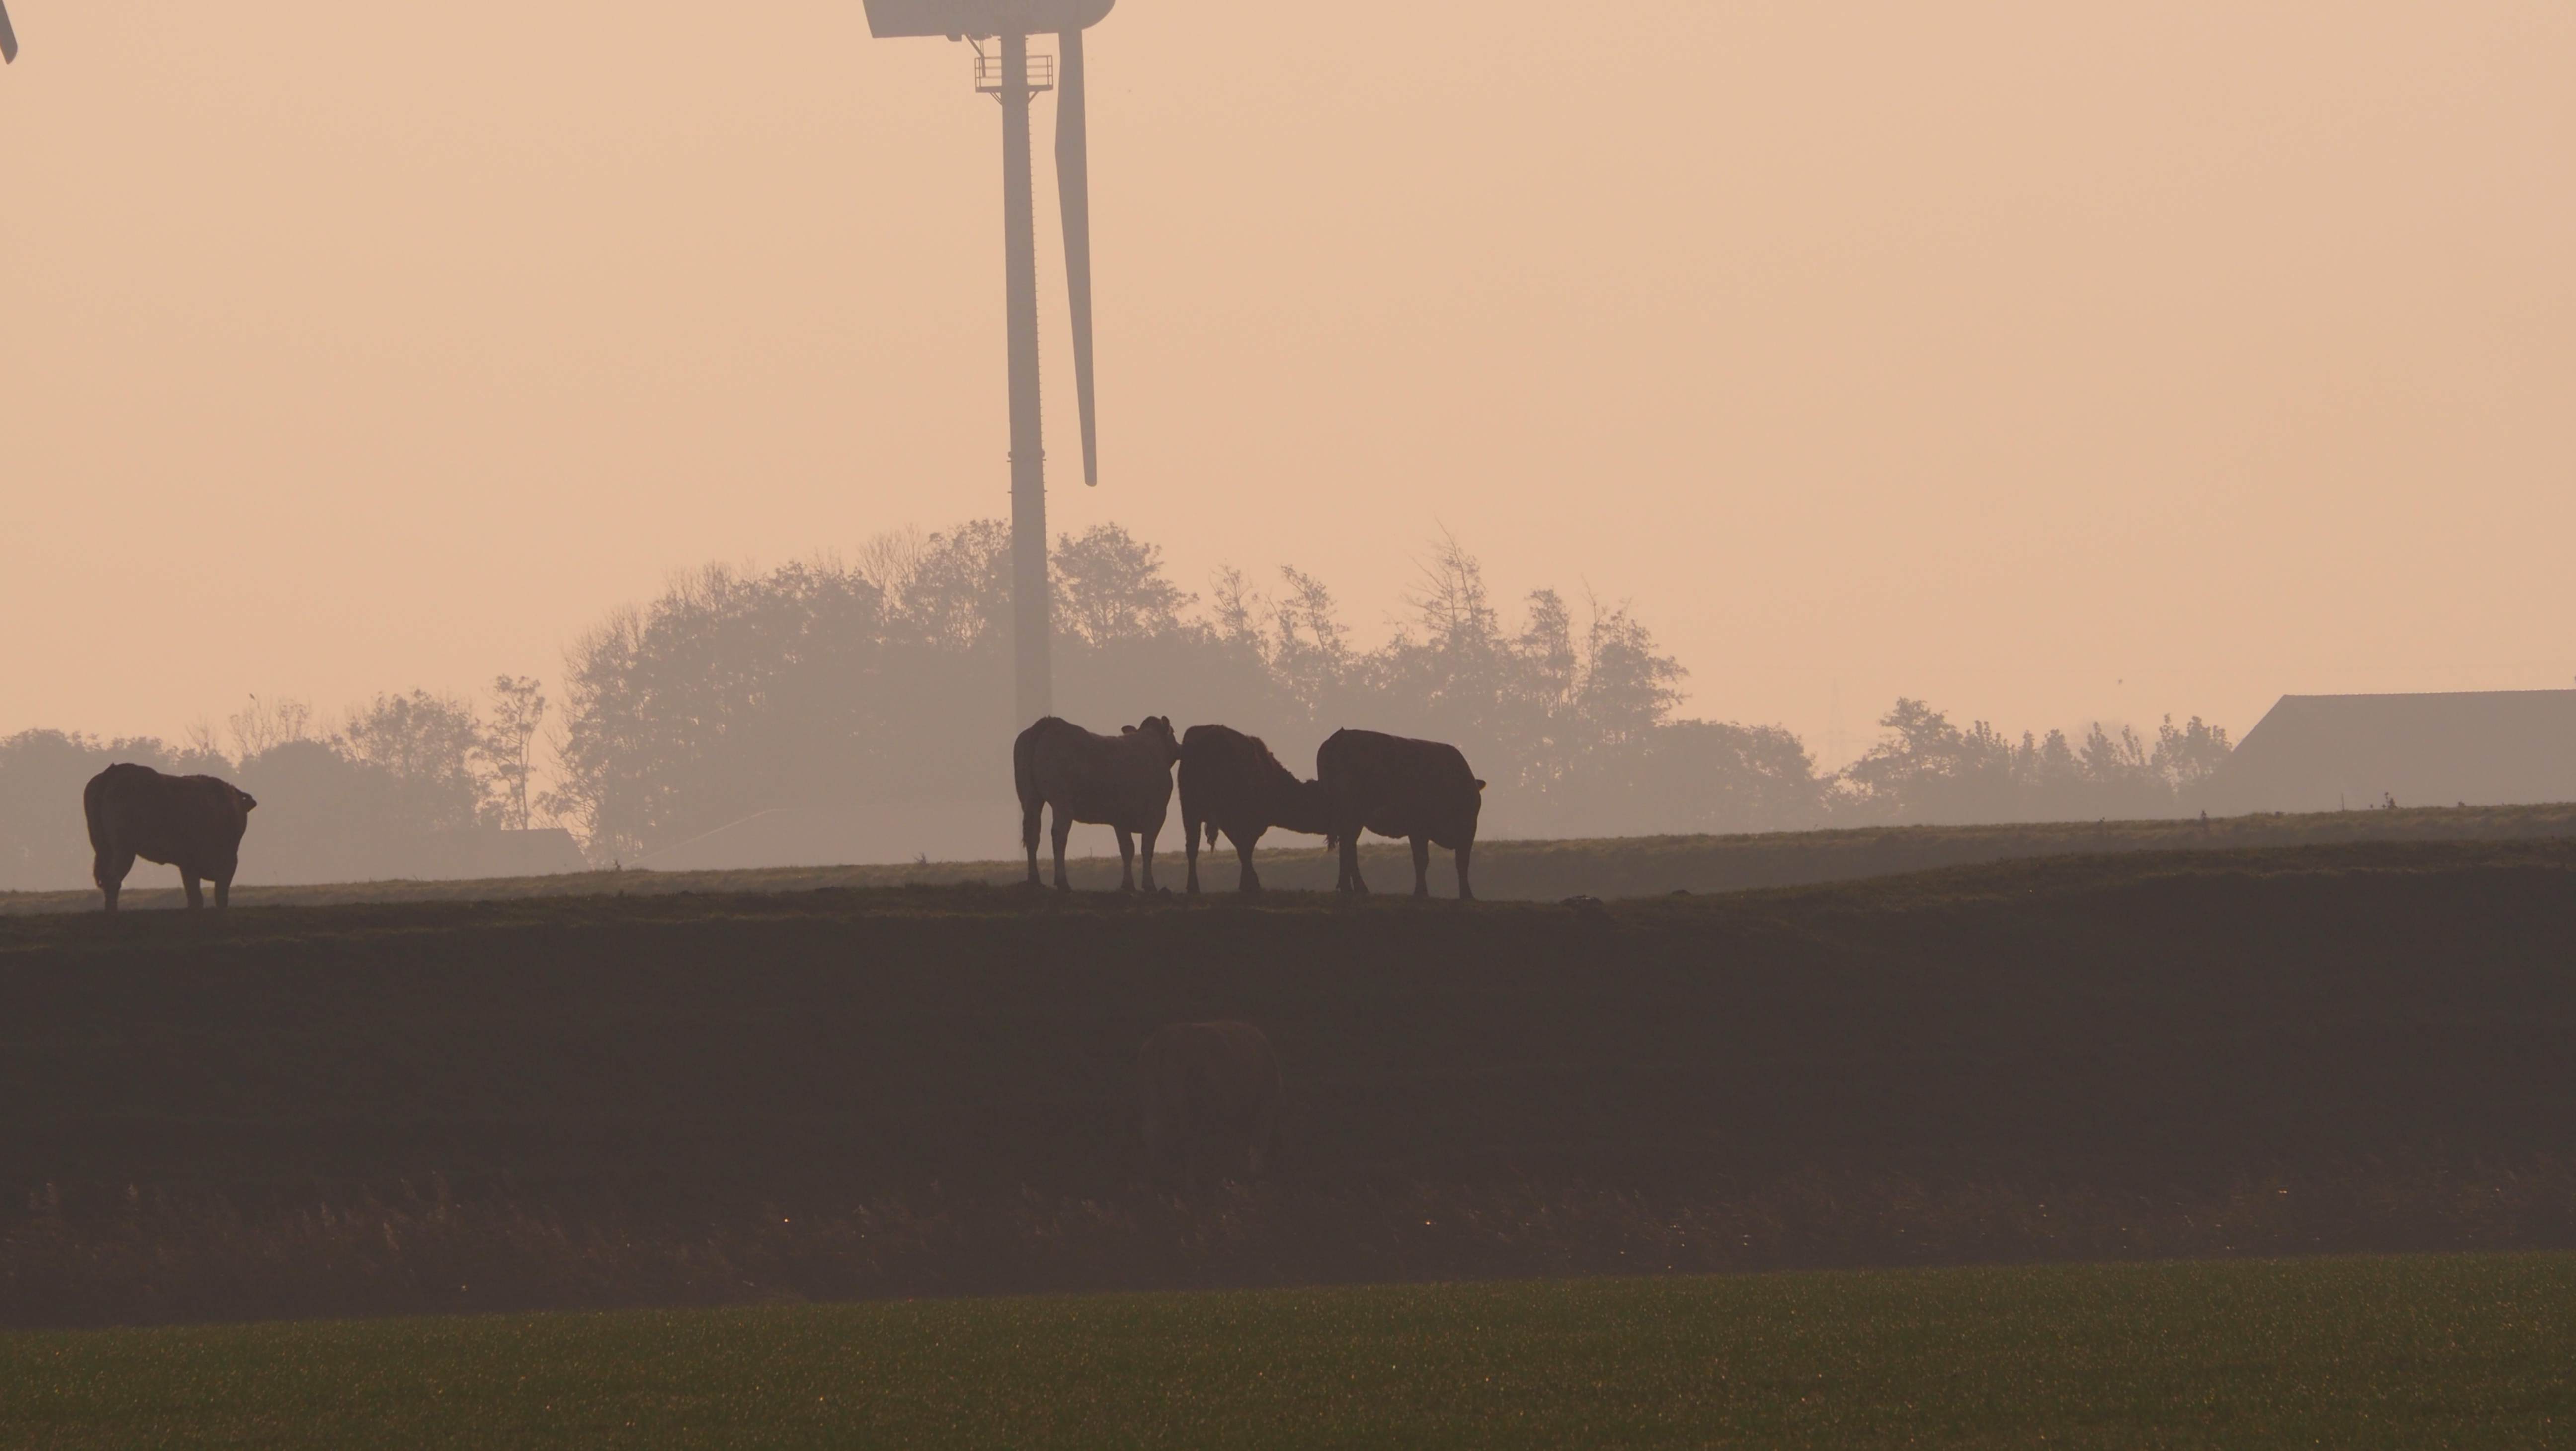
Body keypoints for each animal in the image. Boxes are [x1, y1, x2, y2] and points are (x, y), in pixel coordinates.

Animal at [84, 768, 257, 912]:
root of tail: (114, 770)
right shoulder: (227, 863)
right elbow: (219, 896)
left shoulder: (189, 866)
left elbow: (195, 897)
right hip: (124, 850)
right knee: (113, 880)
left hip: (104, 849)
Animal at [1010, 716, 1180, 896]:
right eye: (1173, 733)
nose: (1180, 748)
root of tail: (1050, 722)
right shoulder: (1157, 813)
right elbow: (1147, 849)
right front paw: (1149, 885)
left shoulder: (1121, 819)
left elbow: (1127, 850)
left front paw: (1128, 885)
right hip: (1062, 803)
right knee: (1059, 835)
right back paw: (1063, 883)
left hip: (1030, 798)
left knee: (1032, 834)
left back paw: (1034, 881)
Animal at [1174, 726, 1319, 896]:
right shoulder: (1249, 823)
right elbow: (1246, 849)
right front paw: (1251, 884)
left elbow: (1243, 849)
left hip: (1191, 813)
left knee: (1192, 847)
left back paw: (1193, 888)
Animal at [1319, 731, 1483, 902]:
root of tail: (1341, 735)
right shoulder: (1423, 829)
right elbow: (1425, 860)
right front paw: (1423, 892)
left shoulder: (1464, 831)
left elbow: (1460, 861)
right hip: (1352, 814)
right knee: (1348, 847)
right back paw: (1355, 888)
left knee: (1348, 847)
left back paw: (1351, 888)